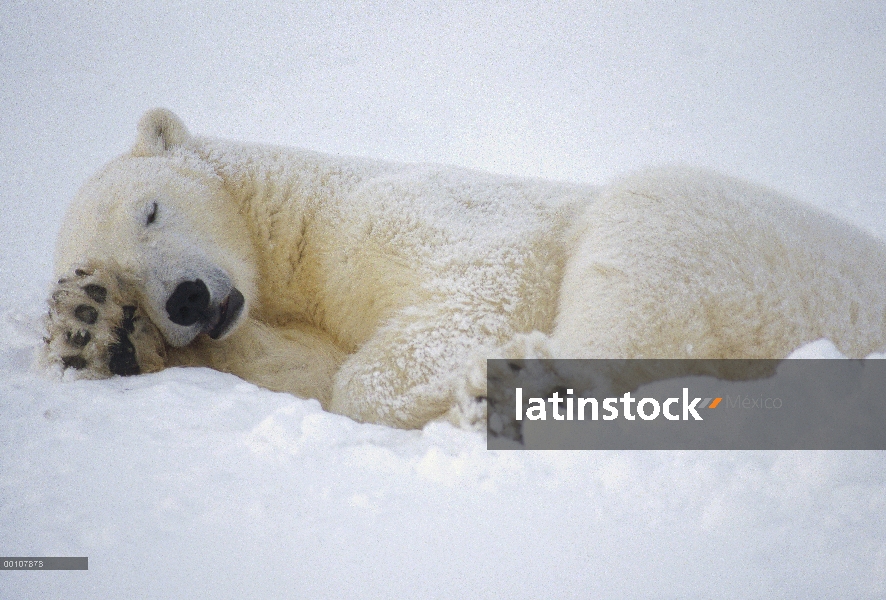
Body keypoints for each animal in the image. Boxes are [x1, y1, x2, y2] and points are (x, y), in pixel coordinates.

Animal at [43, 108, 886, 426]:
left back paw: (512, 391)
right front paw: (94, 327)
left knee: (645, 234)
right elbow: (308, 363)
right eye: (116, 267)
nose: (185, 299)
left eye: (151, 211)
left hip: (769, 255)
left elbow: (486, 278)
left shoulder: (406, 212)